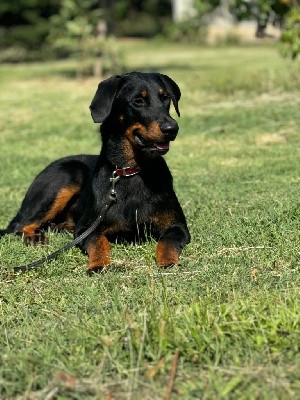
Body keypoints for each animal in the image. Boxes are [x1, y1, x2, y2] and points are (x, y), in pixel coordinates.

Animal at [0, 72, 190, 274]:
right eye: (138, 101)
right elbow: (98, 241)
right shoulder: (86, 228)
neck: (130, 171)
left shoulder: (178, 226)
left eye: (165, 98)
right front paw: (98, 264)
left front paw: (168, 262)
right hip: (66, 175)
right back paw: (35, 237)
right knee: (20, 224)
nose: (172, 128)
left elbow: (167, 242)